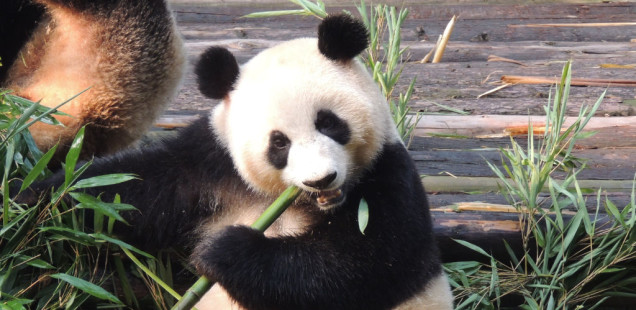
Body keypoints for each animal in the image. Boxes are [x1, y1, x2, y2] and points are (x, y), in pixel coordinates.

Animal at [19, 13, 454, 308]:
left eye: (329, 123)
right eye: (278, 143)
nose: (321, 180)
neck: (295, 204)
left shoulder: (388, 177)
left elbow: (362, 264)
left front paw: (223, 251)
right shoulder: (211, 164)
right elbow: (122, 193)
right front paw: (26, 208)